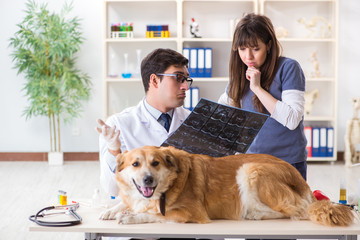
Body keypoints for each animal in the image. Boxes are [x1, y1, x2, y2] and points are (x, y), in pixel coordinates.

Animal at [99, 145, 354, 226]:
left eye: (155, 163)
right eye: (135, 164)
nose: (148, 180)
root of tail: (302, 181)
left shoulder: (192, 213)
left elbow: (156, 215)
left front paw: (131, 217)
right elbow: (128, 202)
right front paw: (113, 209)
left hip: (250, 169)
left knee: (298, 212)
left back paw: (255, 214)